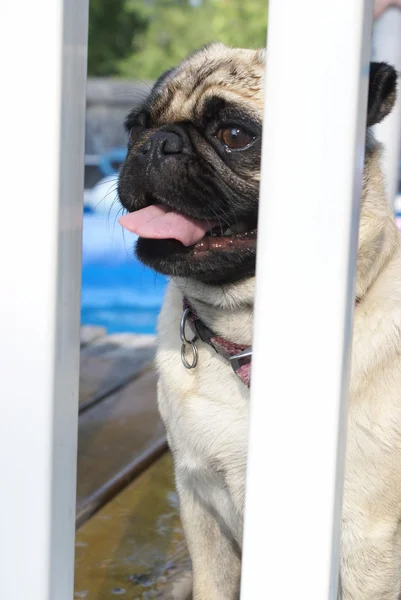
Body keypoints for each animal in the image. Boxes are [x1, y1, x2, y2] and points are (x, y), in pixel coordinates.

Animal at [118, 45, 400, 600]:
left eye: (235, 135)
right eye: (135, 127)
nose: (157, 144)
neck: (241, 338)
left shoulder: (367, 544)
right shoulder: (199, 502)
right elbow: (211, 585)